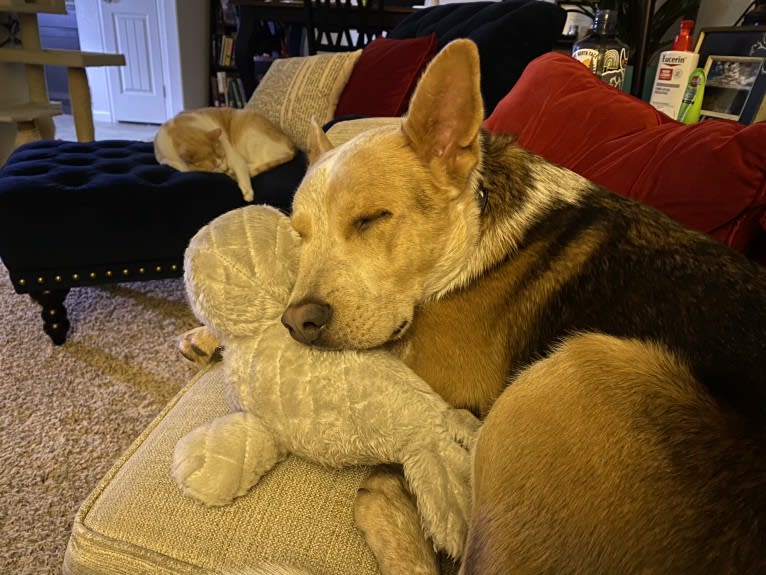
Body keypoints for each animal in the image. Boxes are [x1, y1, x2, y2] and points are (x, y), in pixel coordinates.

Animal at [154, 107, 298, 202]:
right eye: (214, 166)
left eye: (222, 157)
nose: (225, 168)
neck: (177, 129)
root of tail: (292, 146)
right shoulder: (165, 159)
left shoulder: (233, 155)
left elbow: (241, 168)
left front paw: (247, 191)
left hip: (248, 139)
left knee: (264, 159)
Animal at [280, 38, 766, 572]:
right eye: (299, 235)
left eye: (371, 219)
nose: (296, 323)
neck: (474, 230)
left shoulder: (441, 375)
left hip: (575, 368)